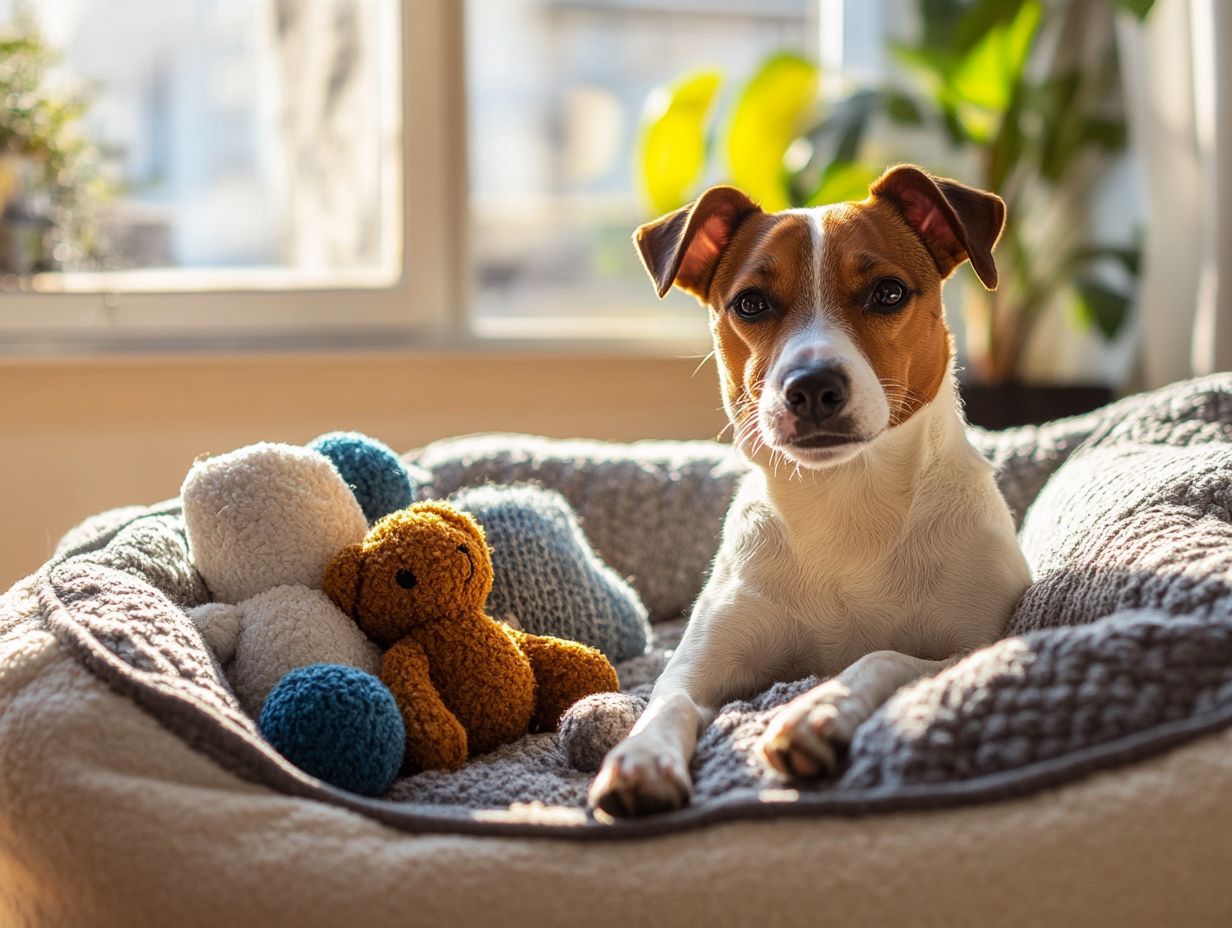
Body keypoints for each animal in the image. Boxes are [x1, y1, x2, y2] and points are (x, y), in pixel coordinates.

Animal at [591, 162, 1034, 813]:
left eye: (888, 293)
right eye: (751, 303)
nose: (812, 386)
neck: (844, 498)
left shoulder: (976, 644)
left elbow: (886, 655)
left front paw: (819, 708)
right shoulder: (700, 666)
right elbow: (666, 700)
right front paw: (641, 757)